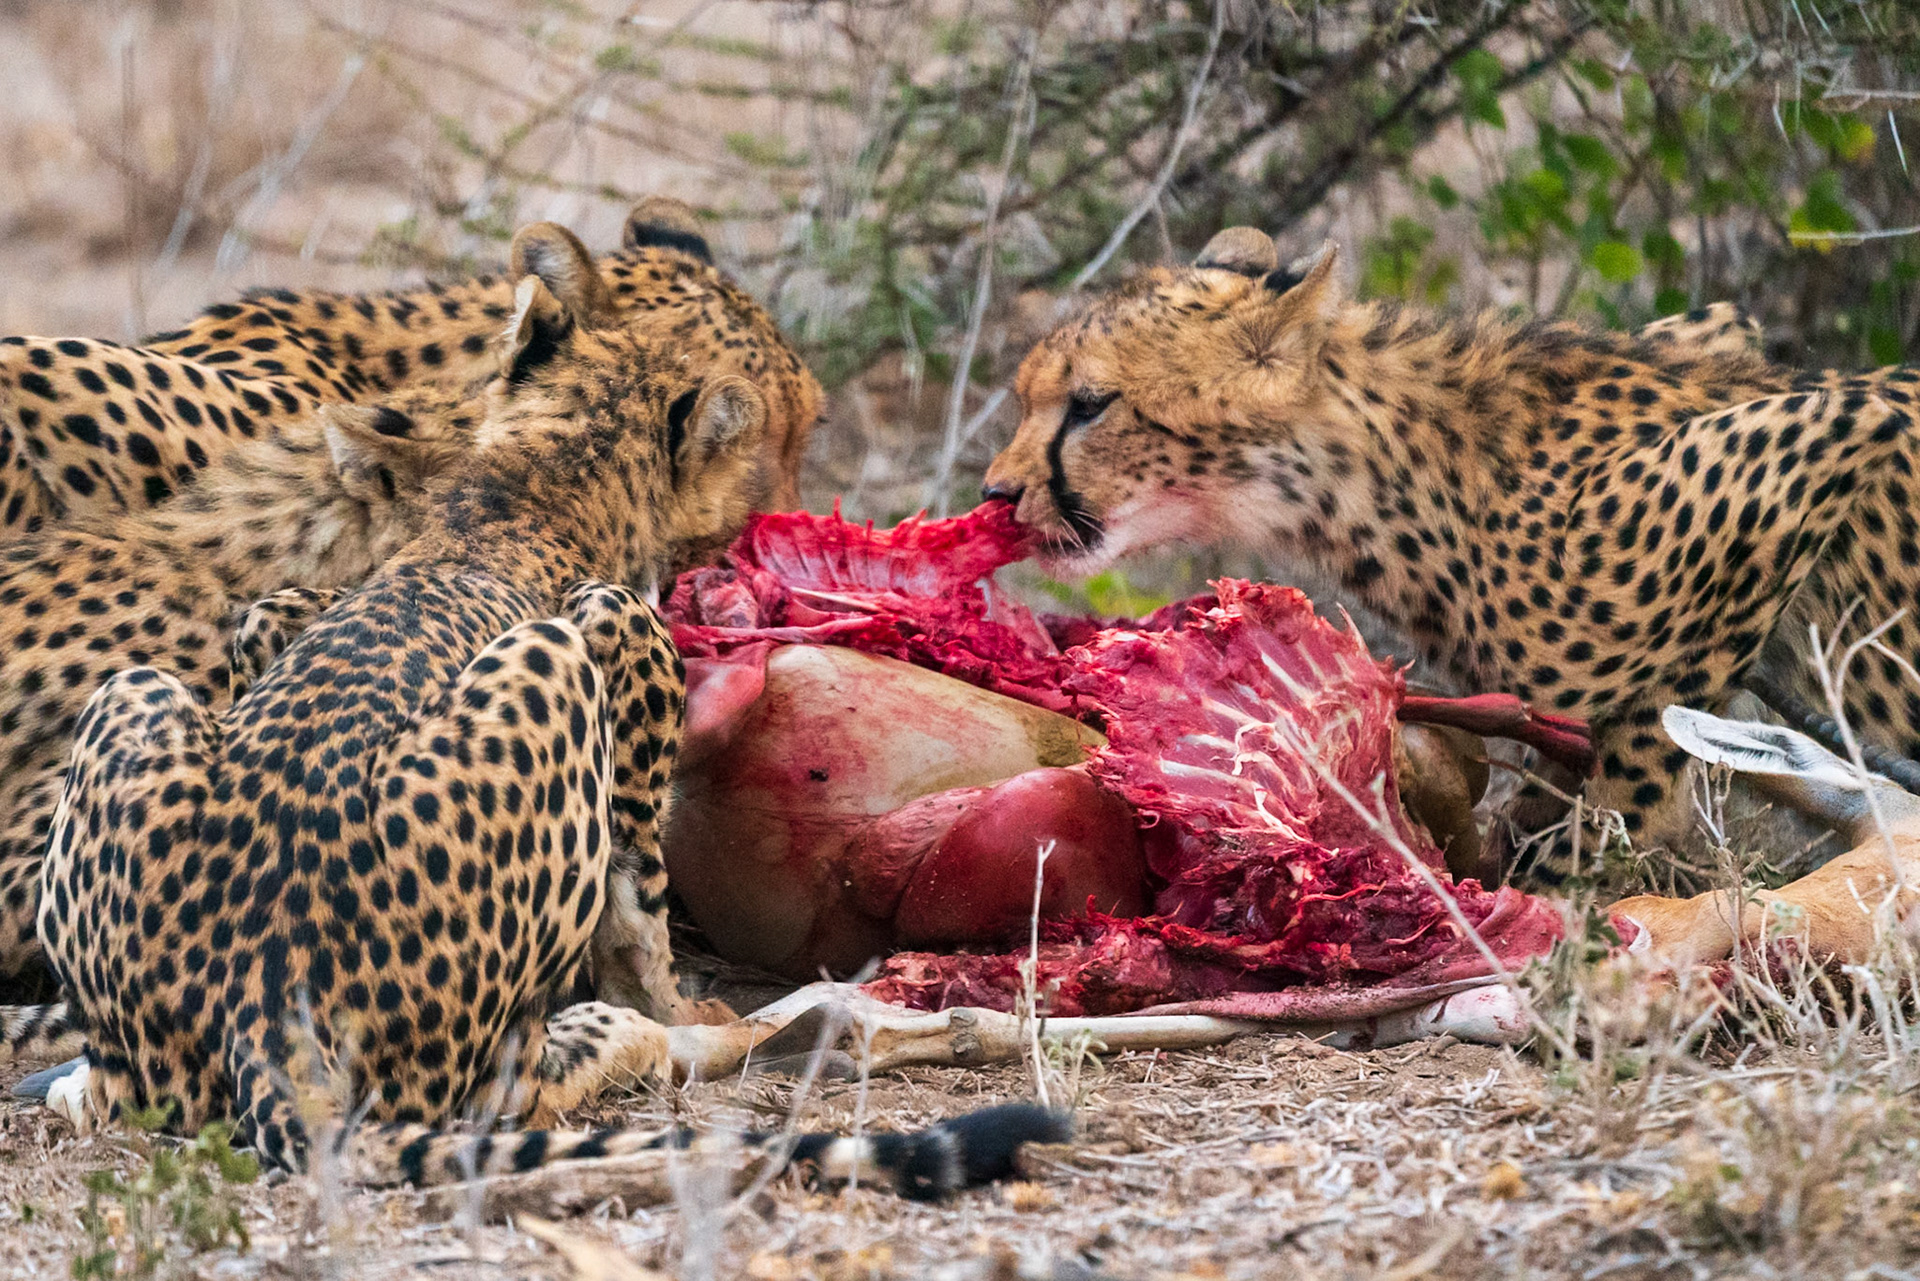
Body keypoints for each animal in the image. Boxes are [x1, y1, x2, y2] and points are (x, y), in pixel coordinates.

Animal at [981, 222, 1920, 889]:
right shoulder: (1732, 333)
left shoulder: (1824, 429)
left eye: (1091, 403)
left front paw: (1571, 892)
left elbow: (1639, 758)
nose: (995, 492)